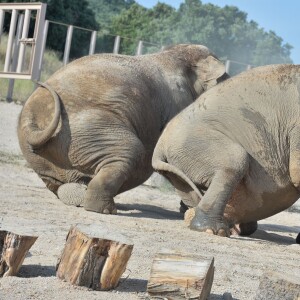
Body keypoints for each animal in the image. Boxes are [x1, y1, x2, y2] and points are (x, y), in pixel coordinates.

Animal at [17, 43, 226, 214]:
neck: (176, 55)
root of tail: (30, 120)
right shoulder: (178, 103)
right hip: (87, 129)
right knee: (131, 150)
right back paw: (105, 209)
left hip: (45, 159)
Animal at [152, 63, 300, 237]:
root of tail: (160, 145)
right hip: (195, 143)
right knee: (234, 162)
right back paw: (214, 229)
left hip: (177, 162)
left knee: (185, 187)